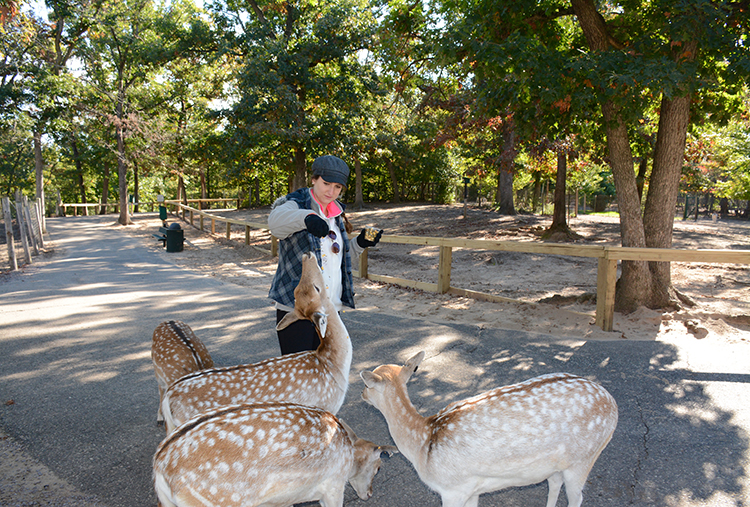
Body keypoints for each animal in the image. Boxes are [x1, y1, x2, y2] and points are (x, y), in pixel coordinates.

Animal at [161, 252, 352, 434]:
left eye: (297, 292)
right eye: (316, 288)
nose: (307, 255)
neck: (332, 365)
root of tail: (168, 397)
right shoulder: (325, 406)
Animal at [360, 351, 618, 507]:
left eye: (367, 384)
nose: (361, 393)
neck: (422, 444)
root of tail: (613, 405)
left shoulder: (452, 489)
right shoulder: (472, 489)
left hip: (584, 459)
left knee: (577, 497)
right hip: (556, 464)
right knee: (554, 484)